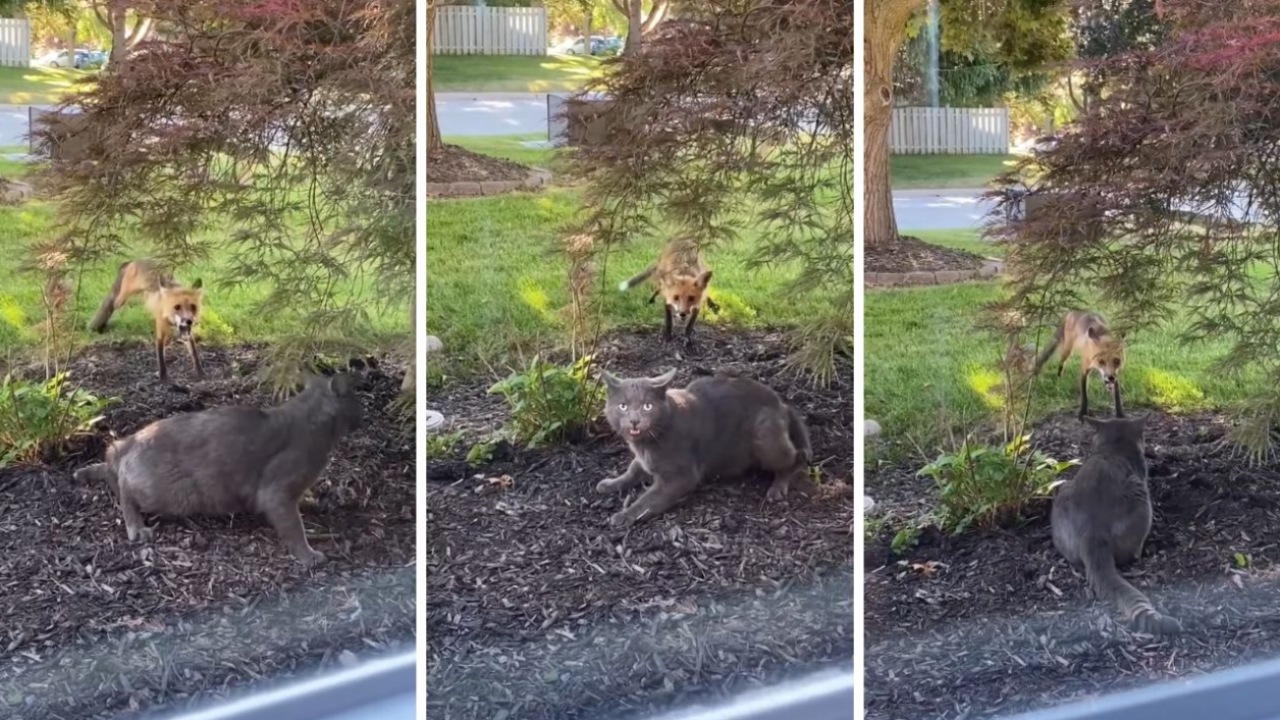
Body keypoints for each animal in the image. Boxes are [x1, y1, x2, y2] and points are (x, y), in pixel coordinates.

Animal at [76, 368, 360, 566]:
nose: (362, 415)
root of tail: (133, 439)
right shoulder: (276, 492)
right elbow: (294, 528)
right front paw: (309, 556)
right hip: (170, 493)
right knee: (125, 490)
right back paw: (136, 527)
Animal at [591, 366, 808, 525]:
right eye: (623, 406)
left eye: (647, 406)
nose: (634, 421)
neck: (646, 444)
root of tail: (782, 404)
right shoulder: (645, 461)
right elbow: (633, 469)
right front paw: (610, 484)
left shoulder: (681, 476)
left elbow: (648, 499)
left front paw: (624, 515)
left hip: (765, 436)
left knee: (796, 456)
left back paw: (778, 487)